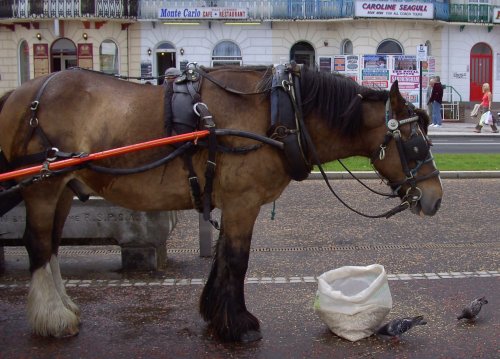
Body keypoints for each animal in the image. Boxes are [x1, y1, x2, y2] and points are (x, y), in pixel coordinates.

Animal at [0, 67, 442, 344]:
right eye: (416, 143)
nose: (435, 198)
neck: (280, 115)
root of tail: (23, 93)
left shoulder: (232, 203)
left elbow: (224, 259)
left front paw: (217, 316)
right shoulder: (243, 202)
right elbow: (236, 260)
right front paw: (238, 325)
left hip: (62, 188)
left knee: (51, 247)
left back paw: (63, 308)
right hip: (43, 187)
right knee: (37, 244)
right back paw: (53, 318)